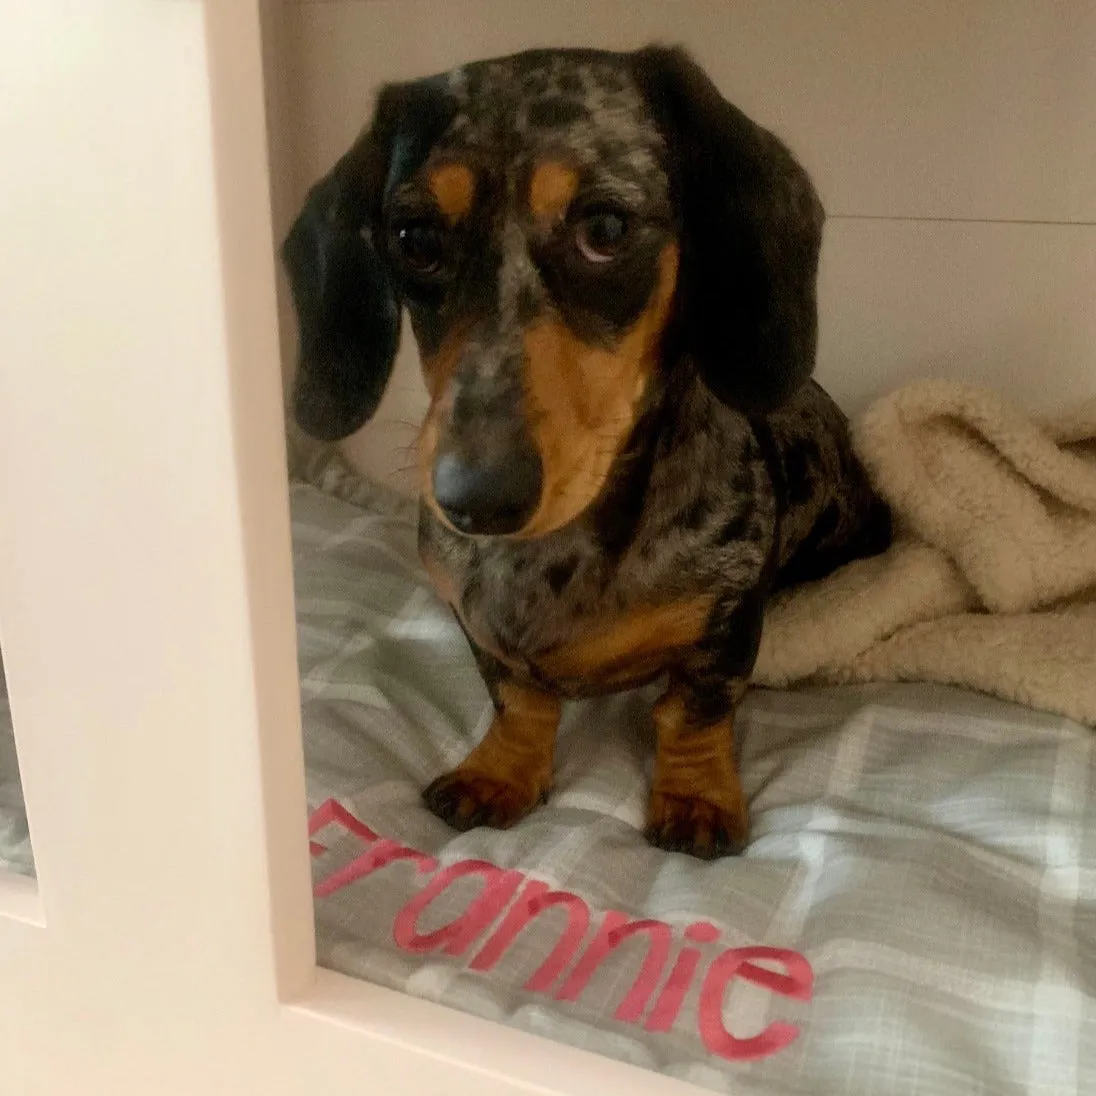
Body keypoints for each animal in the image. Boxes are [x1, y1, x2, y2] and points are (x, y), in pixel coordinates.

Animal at [282, 47, 889, 859]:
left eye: (605, 226)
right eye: (415, 239)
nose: (475, 497)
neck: (553, 556)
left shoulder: (729, 622)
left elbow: (695, 709)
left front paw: (695, 795)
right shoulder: (480, 629)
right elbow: (518, 699)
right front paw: (501, 770)